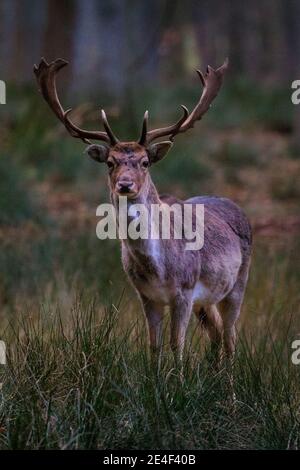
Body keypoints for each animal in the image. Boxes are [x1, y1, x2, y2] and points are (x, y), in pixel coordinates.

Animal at [34, 57, 252, 368]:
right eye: (110, 162)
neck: (159, 268)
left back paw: (231, 380)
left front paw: (179, 380)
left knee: (231, 335)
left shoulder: (185, 290)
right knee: (217, 331)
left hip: (237, 283)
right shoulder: (146, 295)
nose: (125, 184)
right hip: (206, 300)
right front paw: (156, 377)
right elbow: (154, 345)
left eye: (145, 161)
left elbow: (176, 345)